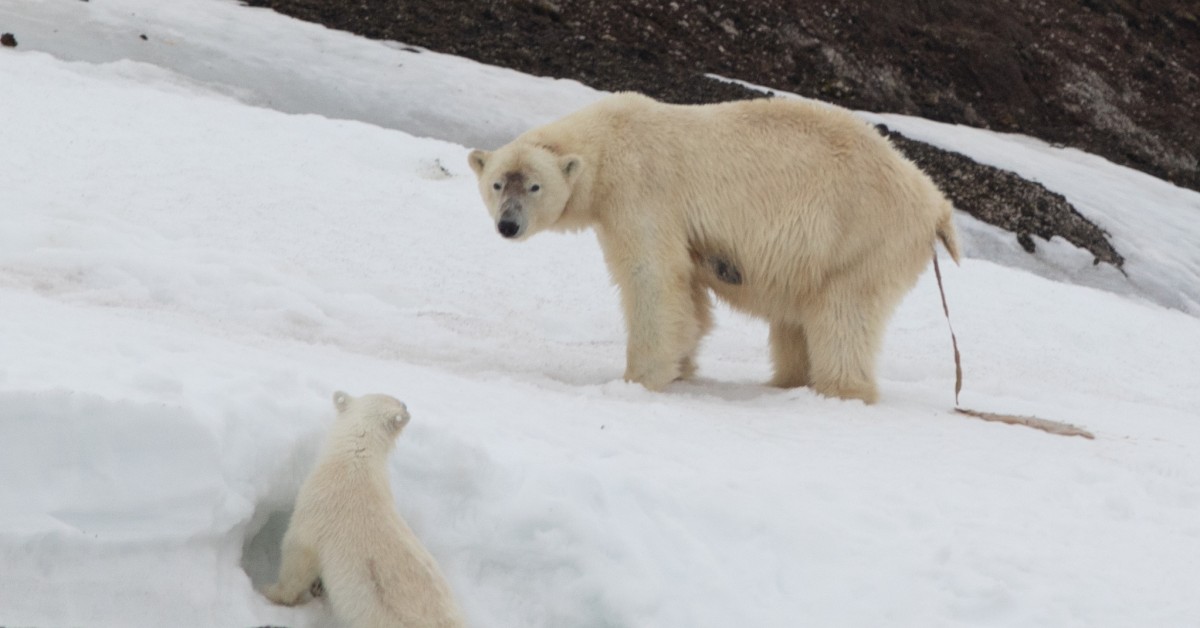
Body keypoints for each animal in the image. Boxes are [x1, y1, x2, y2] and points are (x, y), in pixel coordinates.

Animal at [265, 391, 464, 628]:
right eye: (401, 403)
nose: (407, 407)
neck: (356, 459)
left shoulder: (318, 509)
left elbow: (297, 557)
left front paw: (272, 592)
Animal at [468, 92, 961, 404]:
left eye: (533, 185)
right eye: (497, 183)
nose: (508, 225)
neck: (609, 138)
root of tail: (935, 202)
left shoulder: (641, 191)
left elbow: (652, 276)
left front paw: (638, 380)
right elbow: (688, 295)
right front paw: (682, 368)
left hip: (860, 236)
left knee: (843, 315)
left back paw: (840, 391)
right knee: (797, 323)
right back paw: (786, 382)